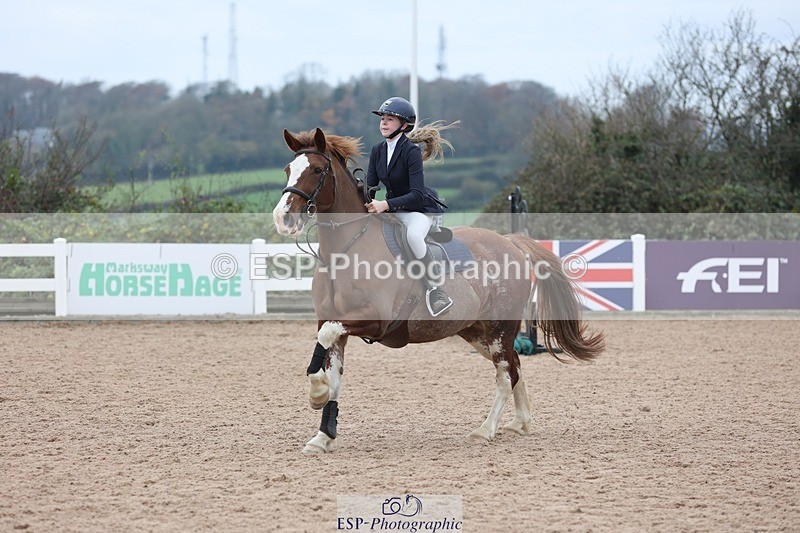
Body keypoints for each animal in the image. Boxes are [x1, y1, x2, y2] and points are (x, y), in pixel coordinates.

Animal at [273, 127, 604, 453]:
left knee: (505, 373)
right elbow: (331, 363)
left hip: (499, 328)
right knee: (516, 365)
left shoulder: (375, 319)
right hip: (476, 331)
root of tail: (510, 242)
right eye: (288, 169)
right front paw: (323, 434)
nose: (282, 218)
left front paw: (316, 394)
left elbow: (326, 336)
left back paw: (485, 430)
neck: (346, 250)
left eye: (317, 170)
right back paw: (519, 423)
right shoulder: (336, 322)